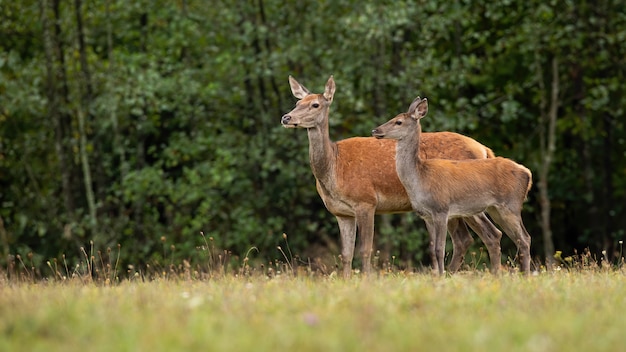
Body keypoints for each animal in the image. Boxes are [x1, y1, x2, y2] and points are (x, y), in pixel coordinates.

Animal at [282, 75, 502, 278]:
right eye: (297, 103)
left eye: (315, 104)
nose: (286, 118)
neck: (334, 168)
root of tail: (484, 149)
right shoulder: (341, 213)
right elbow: (345, 254)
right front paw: (346, 281)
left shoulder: (366, 201)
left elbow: (365, 249)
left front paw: (366, 281)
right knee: (467, 238)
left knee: (487, 234)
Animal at [370, 96, 532, 276]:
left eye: (398, 122)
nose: (375, 130)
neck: (420, 177)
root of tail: (527, 173)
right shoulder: (427, 215)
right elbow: (432, 250)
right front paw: (437, 275)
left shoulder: (441, 209)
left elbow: (440, 249)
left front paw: (441, 276)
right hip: (495, 209)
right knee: (511, 237)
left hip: (510, 205)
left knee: (524, 238)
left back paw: (526, 275)